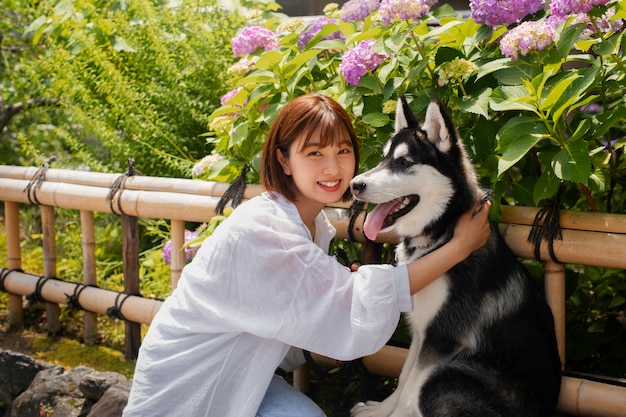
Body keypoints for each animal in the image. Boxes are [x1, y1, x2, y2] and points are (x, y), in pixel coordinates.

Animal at [348, 97, 560, 416]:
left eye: (405, 162)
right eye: (383, 158)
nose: (354, 185)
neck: (440, 237)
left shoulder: (442, 338)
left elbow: (410, 391)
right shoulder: (422, 330)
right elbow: (403, 380)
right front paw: (378, 411)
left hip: (443, 378)